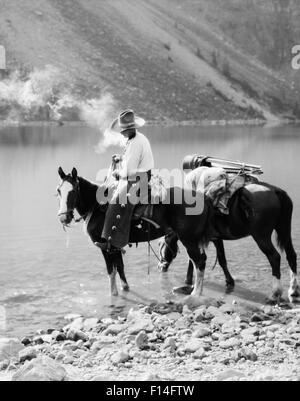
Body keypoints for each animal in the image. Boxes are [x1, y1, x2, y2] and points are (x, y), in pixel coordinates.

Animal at [56, 167, 211, 296]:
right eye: (58, 190)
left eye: (73, 190)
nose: (64, 217)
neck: (96, 206)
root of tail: (202, 197)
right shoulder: (114, 246)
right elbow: (120, 267)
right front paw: (125, 288)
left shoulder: (104, 246)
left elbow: (111, 270)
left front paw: (114, 294)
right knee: (197, 261)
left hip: (188, 239)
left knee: (199, 261)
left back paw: (195, 294)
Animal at [158, 169, 298, 304]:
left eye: (161, 245)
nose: (160, 266)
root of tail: (276, 191)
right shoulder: (215, 238)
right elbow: (221, 259)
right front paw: (229, 281)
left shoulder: (197, 239)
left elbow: (195, 260)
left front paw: (187, 283)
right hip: (284, 229)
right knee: (291, 255)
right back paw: (294, 291)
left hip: (261, 236)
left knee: (274, 257)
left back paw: (274, 294)